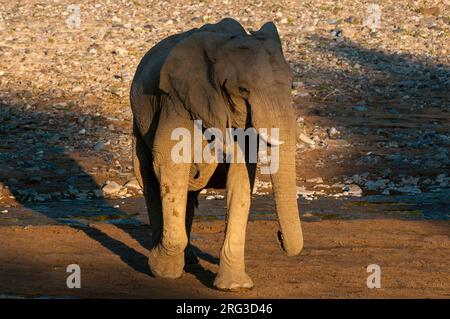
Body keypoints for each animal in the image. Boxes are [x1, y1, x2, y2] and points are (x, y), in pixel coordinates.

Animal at [130, 18, 304, 292]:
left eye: (292, 85)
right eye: (243, 90)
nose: (278, 236)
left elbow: (241, 177)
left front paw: (234, 286)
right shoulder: (177, 103)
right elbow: (170, 165)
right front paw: (162, 271)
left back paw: (189, 261)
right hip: (139, 126)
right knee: (149, 180)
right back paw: (164, 260)